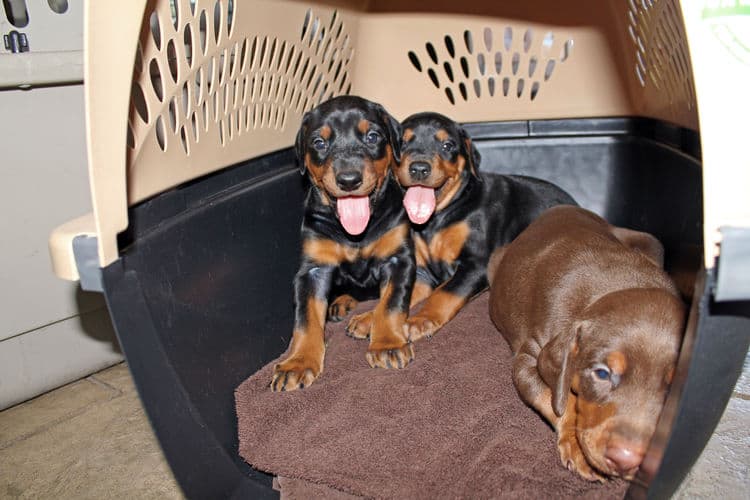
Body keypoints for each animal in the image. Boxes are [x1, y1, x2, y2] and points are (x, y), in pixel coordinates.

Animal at [272, 94, 418, 390]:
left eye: (373, 136)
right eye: (319, 142)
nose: (349, 180)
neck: (355, 233)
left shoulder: (399, 259)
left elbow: (391, 304)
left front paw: (387, 345)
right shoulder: (312, 270)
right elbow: (305, 319)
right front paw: (298, 362)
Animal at [396, 112, 580, 342]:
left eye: (447, 145)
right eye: (402, 143)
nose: (419, 168)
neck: (440, 217)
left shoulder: (476, 264)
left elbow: (444, 293)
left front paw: (422, 320)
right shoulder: (423, 273)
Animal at [488, 206, 688, 480]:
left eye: (671, 387)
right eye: (602, 373)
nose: (626, 460)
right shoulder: (529, 357)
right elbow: (554, 397)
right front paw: (577, 446)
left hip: (652, 243)